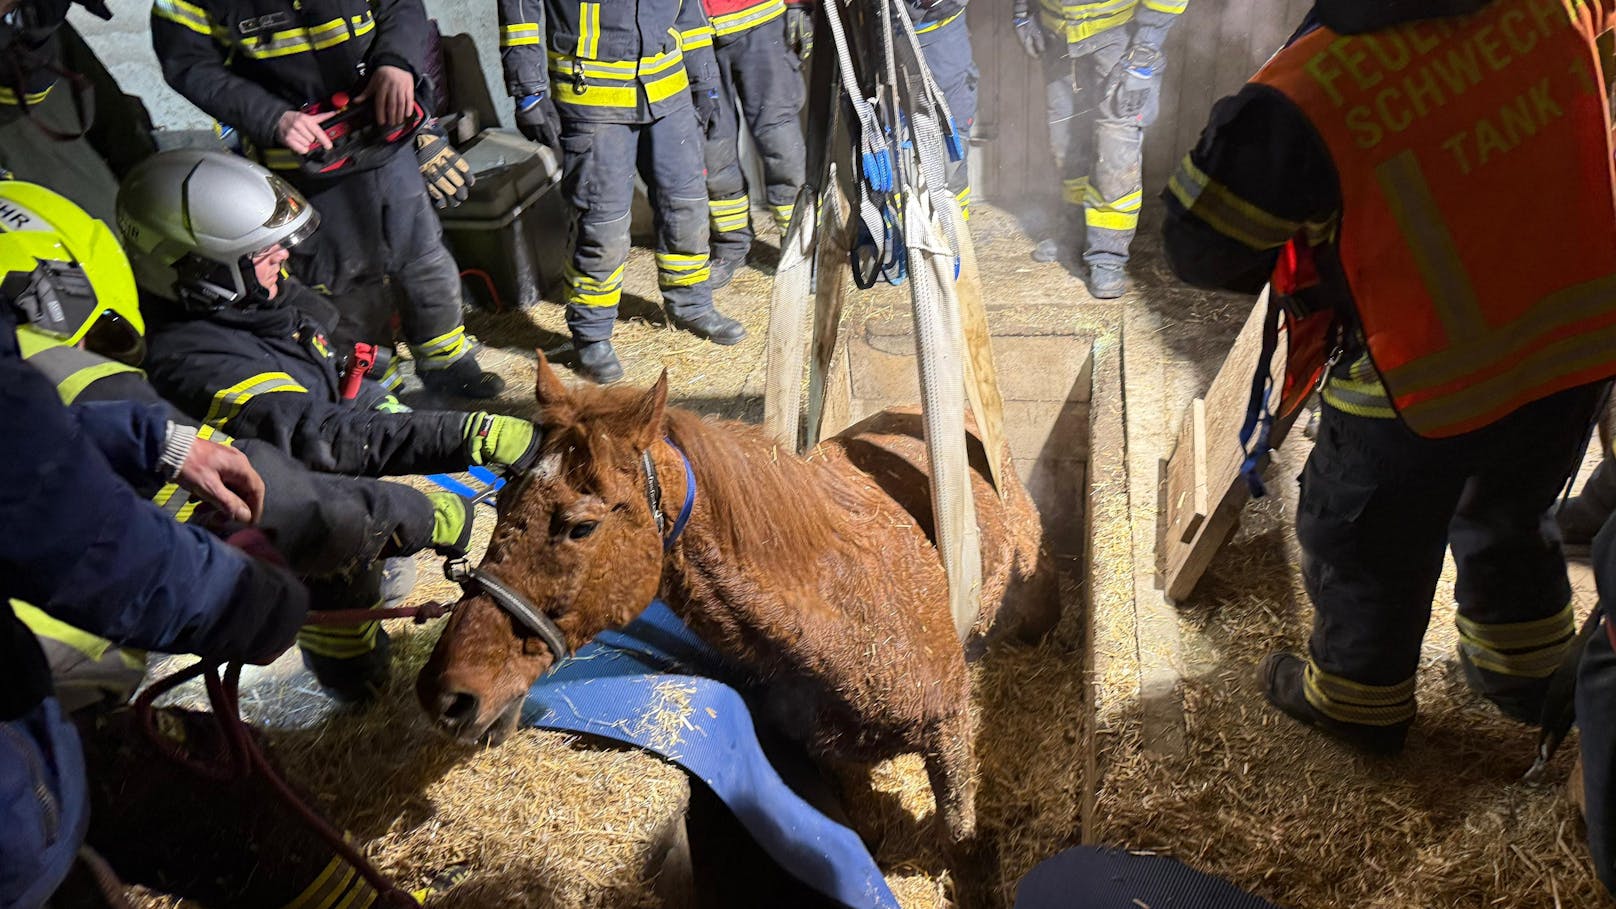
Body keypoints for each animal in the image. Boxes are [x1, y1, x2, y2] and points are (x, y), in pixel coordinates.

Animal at [416, 355, 1060, 841]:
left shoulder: (950, 732)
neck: (843, 602)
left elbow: (959, 832)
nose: (448, 693)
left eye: (580, 527)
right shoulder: (836, 756)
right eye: (501, 502)